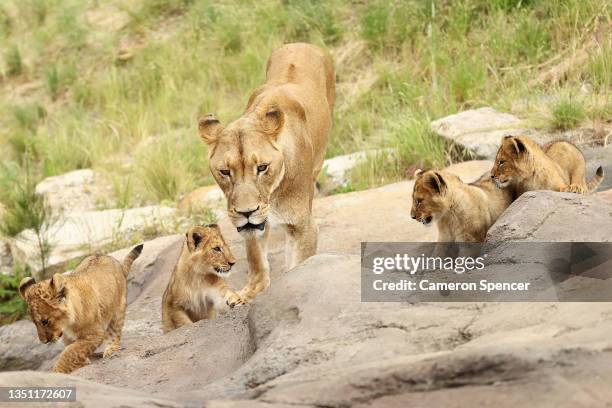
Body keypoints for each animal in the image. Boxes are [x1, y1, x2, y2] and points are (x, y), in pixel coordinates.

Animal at [198, 43, 334, 302]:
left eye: (262, 167)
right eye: (225, 171)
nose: (247, 212)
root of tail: (299, 43)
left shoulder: (303, 226)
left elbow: (298, 265)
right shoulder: (250, 226)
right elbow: (256, 258)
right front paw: (249, 292)